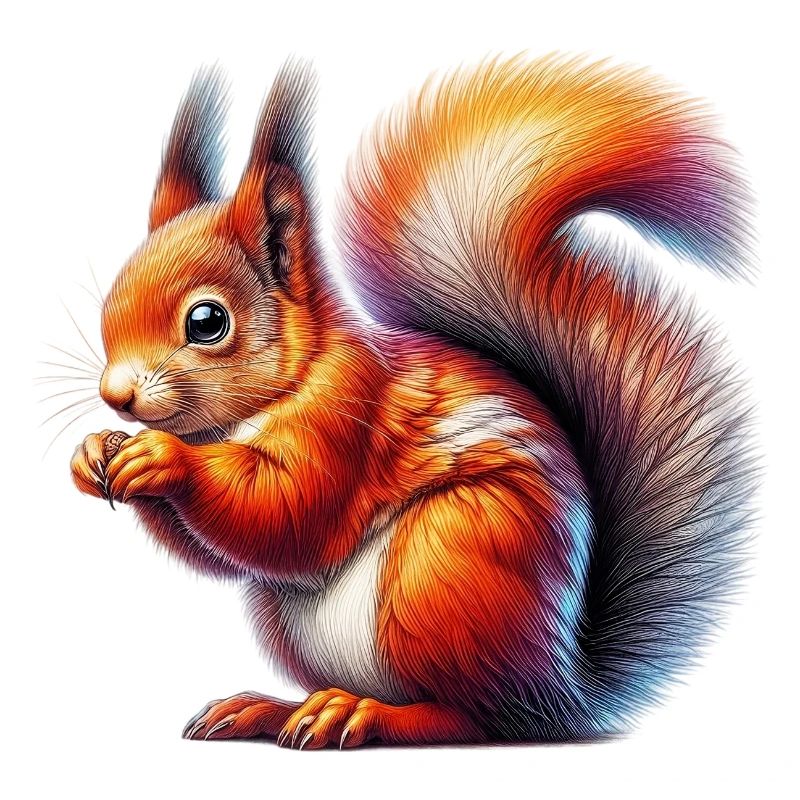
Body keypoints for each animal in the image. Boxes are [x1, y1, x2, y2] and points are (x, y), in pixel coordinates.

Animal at [70, 55, 755, 747]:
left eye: (208, 322)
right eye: (110, 303)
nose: (116, 396)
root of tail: (566, 686)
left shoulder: (350, 414)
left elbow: (287, 510)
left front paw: (163, 458)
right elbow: (218, 554)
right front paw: (95, 451)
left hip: (447, 561)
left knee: (479, 717)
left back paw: (362, 713)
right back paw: (274, 708)